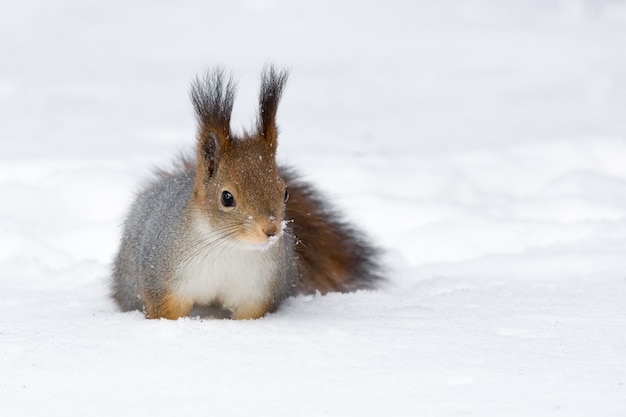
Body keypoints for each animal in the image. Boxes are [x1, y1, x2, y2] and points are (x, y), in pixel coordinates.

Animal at [111, 65, 380, 318]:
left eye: (285, 192)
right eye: (226, 197)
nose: (271, 230)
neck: (229, 248)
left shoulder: (257, 294)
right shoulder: (166, 285)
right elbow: (165, 311)